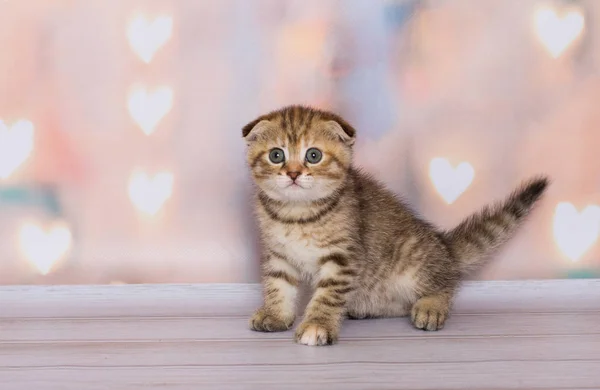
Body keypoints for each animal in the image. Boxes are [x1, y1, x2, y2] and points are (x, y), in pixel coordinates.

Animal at [243, 105, 548, 346]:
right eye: (277, 155)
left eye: (313, 155)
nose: (293, 174)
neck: (297, 214)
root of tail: (444, 247)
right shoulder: (278, 254)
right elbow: (277, 285)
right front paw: (276, 315)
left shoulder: (343, 257)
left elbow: (327, 296)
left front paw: (317, 325)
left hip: (413, 259)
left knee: (445, 284)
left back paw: (430, 307)